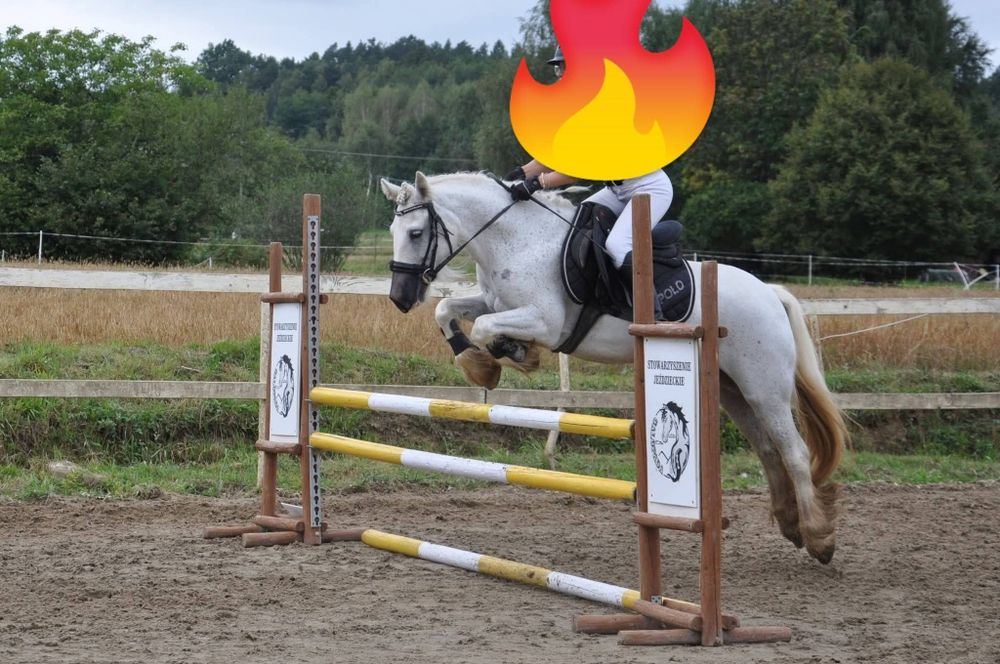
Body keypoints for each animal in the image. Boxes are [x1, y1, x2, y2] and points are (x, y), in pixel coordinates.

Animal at [379, 171, 848, 565]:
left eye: (416, 233)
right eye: (393, 233)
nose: (400, 297)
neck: (515, 240)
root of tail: (770, 293)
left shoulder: (544, 320)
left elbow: (484, 328)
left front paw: (511, 354)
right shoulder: (493, 302)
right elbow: (448, 311)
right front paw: (482, 364)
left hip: (763, 387)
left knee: (794, 451)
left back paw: (818, 539)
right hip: (733, 389)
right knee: (768, 449)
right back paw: (790, 525)